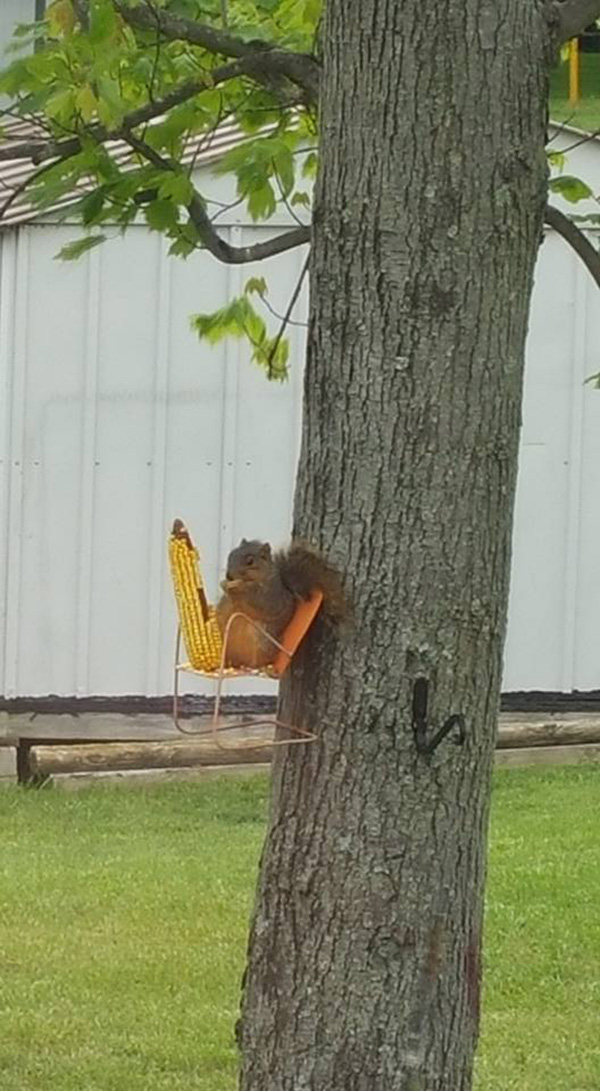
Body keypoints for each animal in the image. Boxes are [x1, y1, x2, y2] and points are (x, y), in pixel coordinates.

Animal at [216, 534, 349, 663]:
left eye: (250, 561)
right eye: (231, 555)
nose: (228, 575)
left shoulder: (272, 595)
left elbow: (256, 601)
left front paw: (238, 587)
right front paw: (224, 585)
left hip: (263, 640)